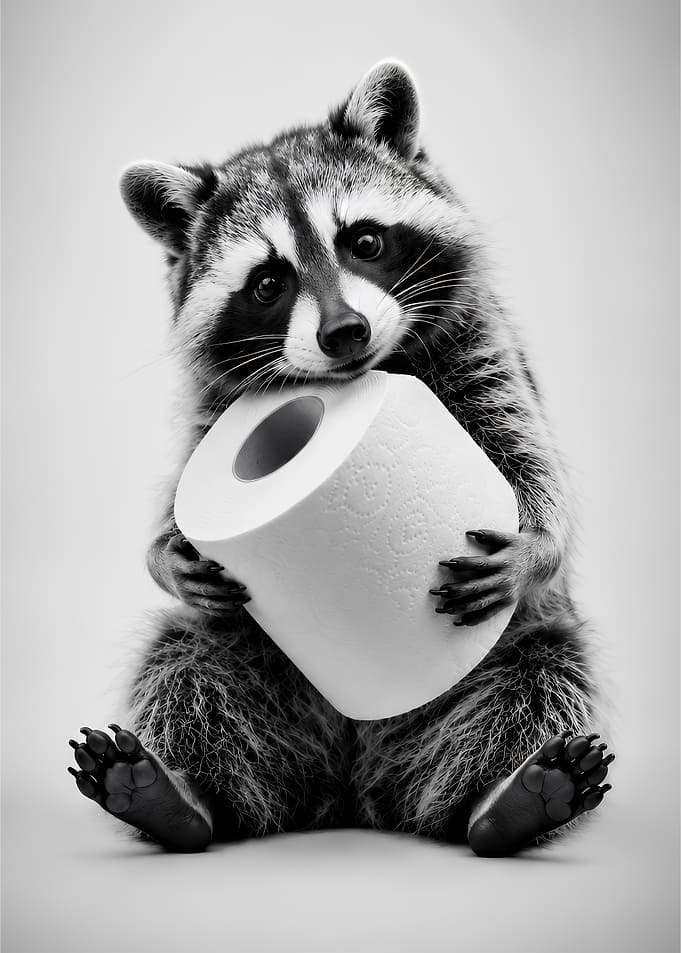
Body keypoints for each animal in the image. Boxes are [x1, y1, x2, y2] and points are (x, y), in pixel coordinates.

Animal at [68, 60, 614, 856]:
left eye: (364, 241)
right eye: (268, 283)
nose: (345, 332)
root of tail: (353, 786)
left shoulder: (485, 351)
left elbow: (528, 458)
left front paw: (538, 544)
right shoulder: (216, 409)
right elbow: (176, 496)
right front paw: (164, 553)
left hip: (504, 656)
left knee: (539, 673)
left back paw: (505, 801)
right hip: (254, 671)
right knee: (185, 661)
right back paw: (179, 797)